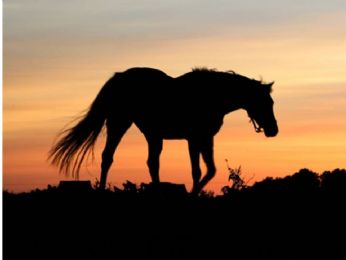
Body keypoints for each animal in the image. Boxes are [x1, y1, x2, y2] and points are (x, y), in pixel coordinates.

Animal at [50, 68, 278, 194]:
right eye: (264, 102)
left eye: (271, 102)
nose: (273, 130)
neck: (212, 95)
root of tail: (119, 77)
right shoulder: (194, 138)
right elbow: (197, 171)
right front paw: (193, 193)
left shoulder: (205, 138)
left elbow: (210, 170)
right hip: (119, 123)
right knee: (108, 157)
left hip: (153, 135)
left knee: (152, 163)